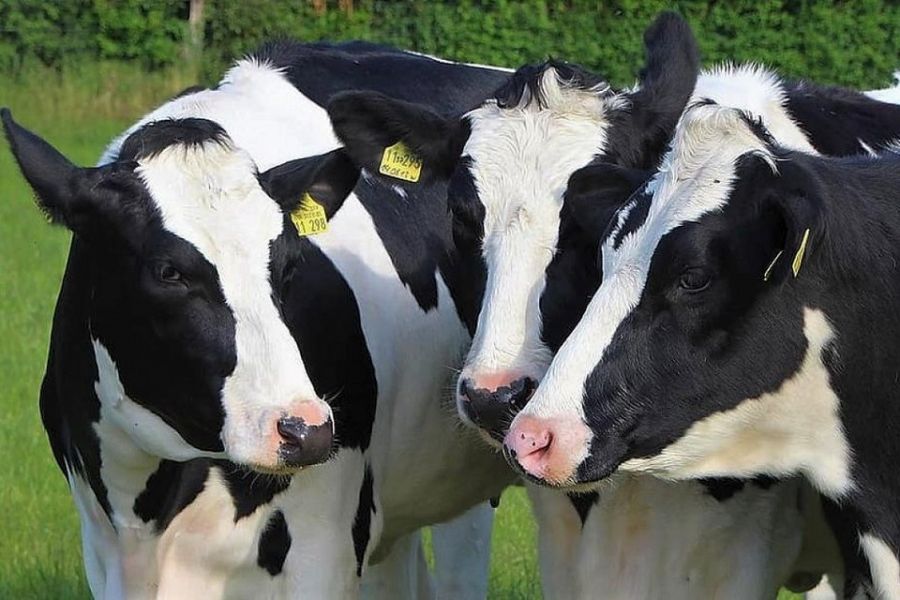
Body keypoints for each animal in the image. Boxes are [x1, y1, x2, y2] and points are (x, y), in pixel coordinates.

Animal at [3, 41, 516, 599]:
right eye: (168, 272)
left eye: (289, 263)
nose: (303, 430)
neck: (156, 501)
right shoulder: (104, 552)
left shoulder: (323, 550)